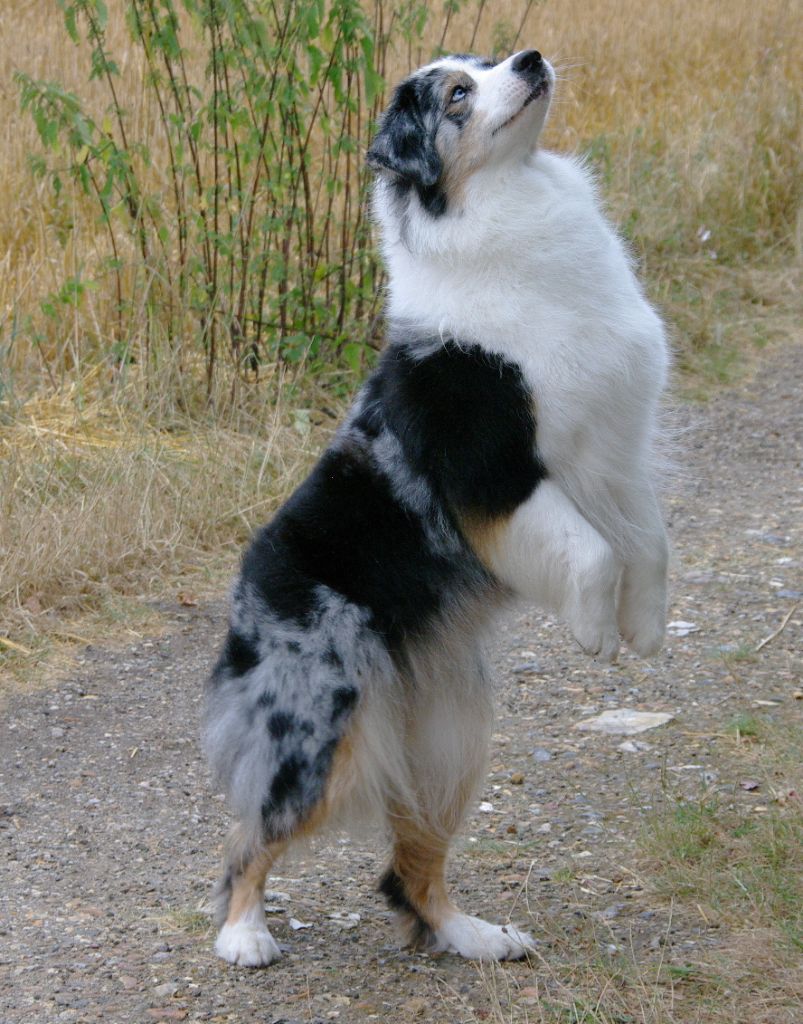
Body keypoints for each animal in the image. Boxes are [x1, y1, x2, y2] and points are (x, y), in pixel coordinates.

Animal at [202, 49, 671, 966]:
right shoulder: (493, 475)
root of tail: (244, 588)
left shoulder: (614, 445)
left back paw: (476, 937)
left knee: (408, 870)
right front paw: (595, 635)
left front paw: (643, 628)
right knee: (249, 834)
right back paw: (243, 935)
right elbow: (593, 550)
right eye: (455, 96)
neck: (508, 204)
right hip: (321, 730)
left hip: (449, 739)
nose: (530, 57)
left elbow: (647, 541)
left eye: (488, 61)